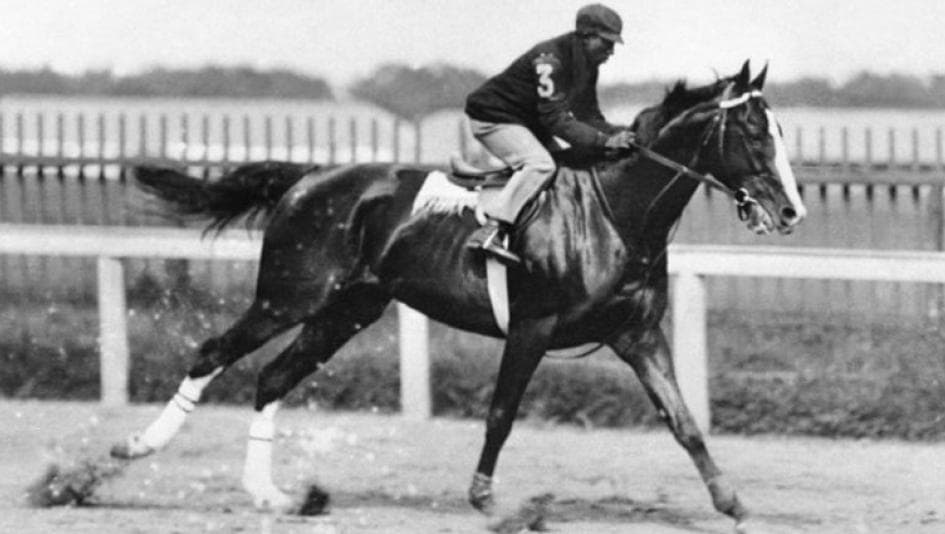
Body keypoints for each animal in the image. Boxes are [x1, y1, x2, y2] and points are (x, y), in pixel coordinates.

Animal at [111, 61, 806, 532]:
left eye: (777, 130)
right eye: (754, 132)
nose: (791, 211)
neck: (613, 211)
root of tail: (307, 177)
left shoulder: (636, 334)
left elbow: (683, 421)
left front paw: (732, 503)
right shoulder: (532, 327)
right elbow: (501, 412)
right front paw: (485, 499)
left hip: (348, 310)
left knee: (271, 377)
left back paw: (272, 494)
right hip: (291, 296)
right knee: (213, 352)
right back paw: (134, 448)